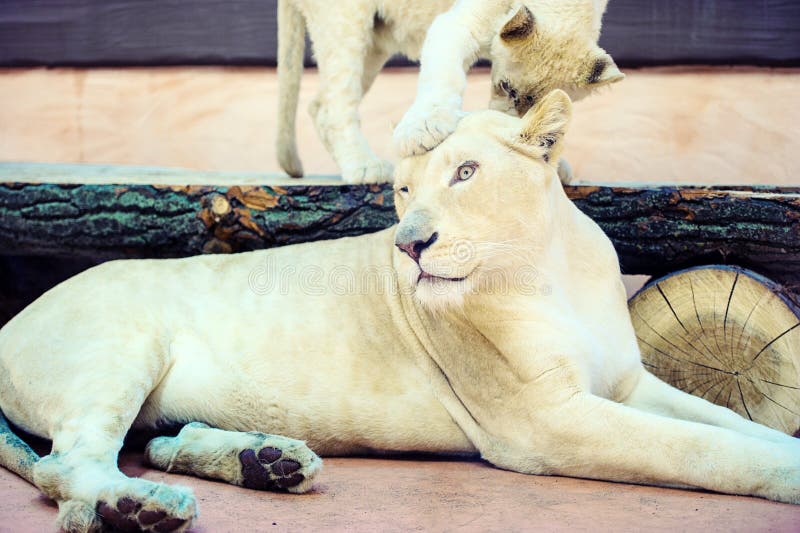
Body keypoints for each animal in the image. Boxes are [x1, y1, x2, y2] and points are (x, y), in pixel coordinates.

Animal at [1, 91, 798, 533]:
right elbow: (705, 449)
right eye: (403, 191)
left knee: (162, 440)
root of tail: (11, 320)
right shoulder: (544, 421)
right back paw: (134, 510)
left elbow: (730, 424)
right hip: (118, 350)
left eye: (467, 172)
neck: (550, 271)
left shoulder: (628, 385)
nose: (411, 245)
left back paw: (269, 463)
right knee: (65, 468)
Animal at [277, 0, 623, 184]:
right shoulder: (457, 24)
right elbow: (443, 77)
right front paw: (421, 132)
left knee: (318, 106)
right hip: (345, 22)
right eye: (506, 88)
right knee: (334, 105)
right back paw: (365, 168)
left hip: (374, 43)